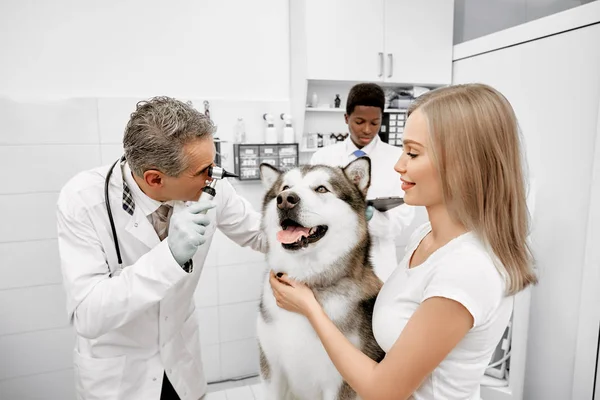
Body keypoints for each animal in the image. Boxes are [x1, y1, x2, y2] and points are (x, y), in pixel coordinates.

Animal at [256, 158, 384, 398]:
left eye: (322, 189)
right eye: (285, 187)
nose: (285, 200)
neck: (306, 279)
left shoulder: (341, 381)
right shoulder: (271, 369)